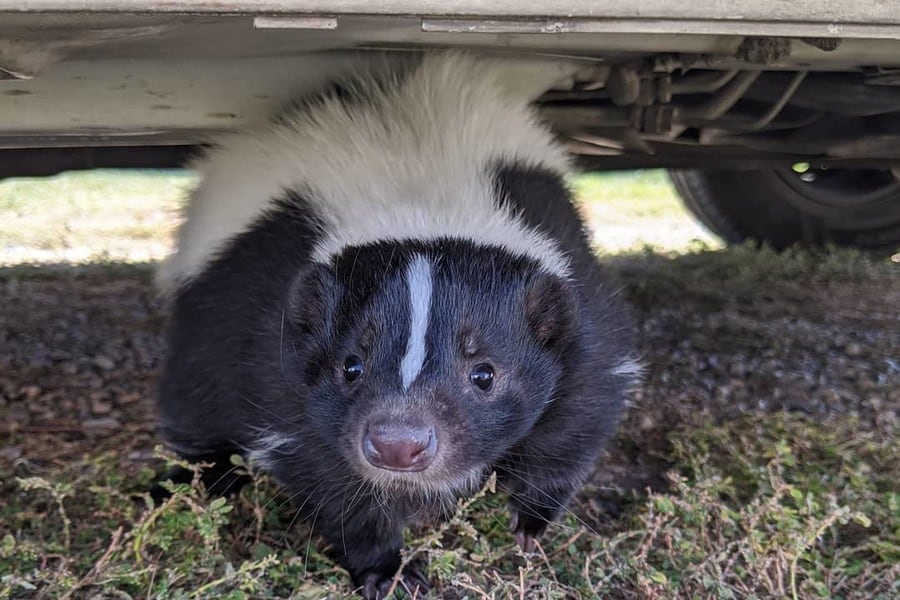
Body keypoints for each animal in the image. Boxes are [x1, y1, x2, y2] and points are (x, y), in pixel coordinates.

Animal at [156, 52, 640, 600]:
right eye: (350, 366)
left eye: (484, 374)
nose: (398, 444)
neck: (420, 199)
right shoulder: (266, 332)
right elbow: (322, 467)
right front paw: (388, 569)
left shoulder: (577, 297)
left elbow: (582, 407)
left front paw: (531, 522)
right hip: (205, 316)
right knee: (193, 402)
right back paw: (194, 480)